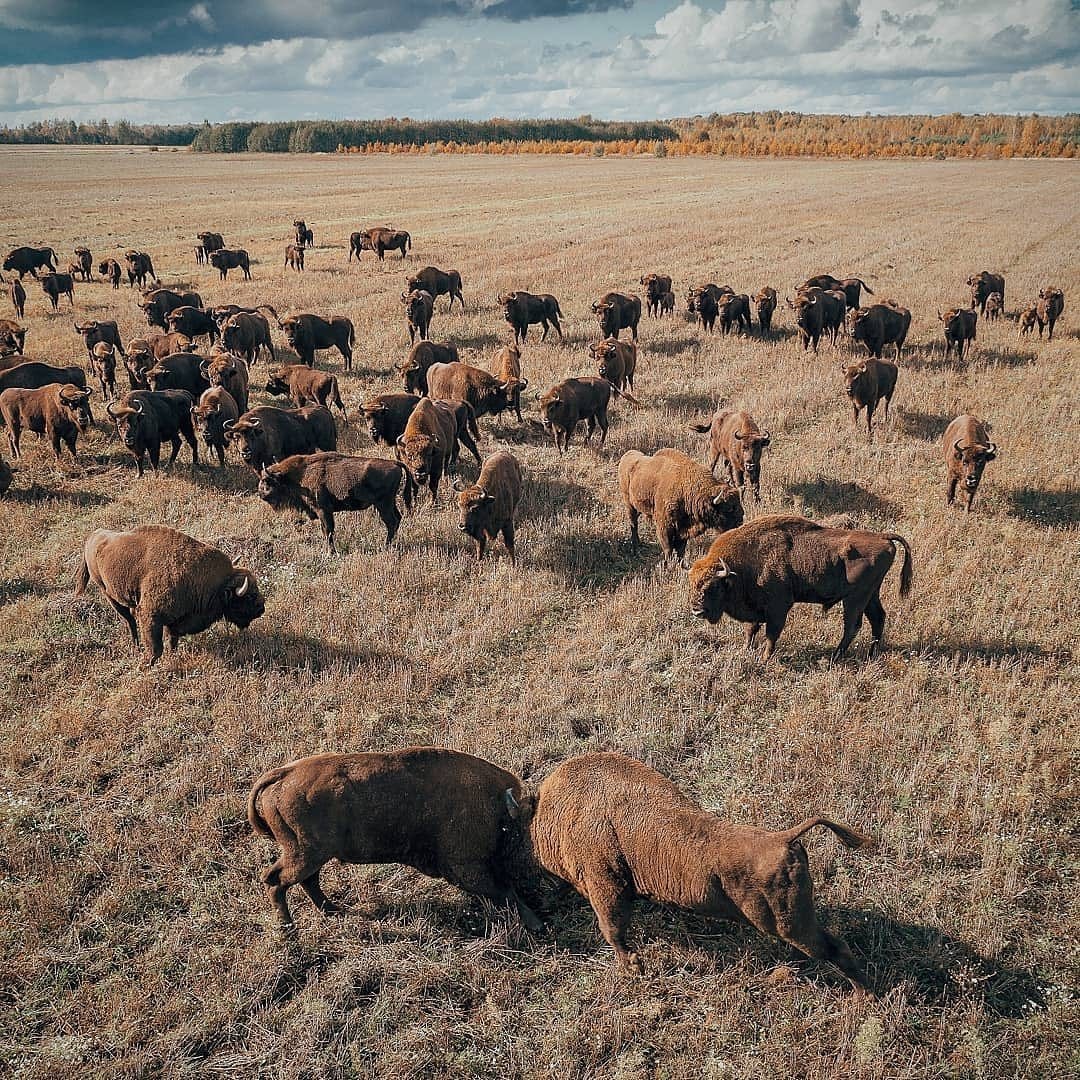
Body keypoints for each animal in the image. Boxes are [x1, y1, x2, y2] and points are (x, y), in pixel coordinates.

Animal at [75, 524, 263, 665]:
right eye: (250, 596)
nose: (262, 609)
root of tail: (93, 536)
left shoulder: (176, 622)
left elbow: (172, 641)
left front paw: (173, 656)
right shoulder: (151, 617)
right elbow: (156, 649)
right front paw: (146, 665)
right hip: (109, 595)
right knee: (129, 621)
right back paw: (136, 646)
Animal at [248, 751, 544, 937]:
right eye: (522, 835)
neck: (498, 808)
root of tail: (285, 774)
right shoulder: (467, 867)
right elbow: (504, 891)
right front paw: (536, 923)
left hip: (314, 855)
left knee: (307, 881)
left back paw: (333, 910)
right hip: (304, 854)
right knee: (275, 880)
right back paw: (288, 930)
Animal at [259, 451, 414, 552]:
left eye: (267, 481)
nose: (261, 494)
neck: (299, 475)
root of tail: (395, 463)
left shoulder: (323, 510)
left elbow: (328, 531)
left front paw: (331, 552)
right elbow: (326, 531)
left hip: (383, 504)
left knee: (391, 522)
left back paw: (385, 546)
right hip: (389, 503)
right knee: (397, 519)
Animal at [516, 751, 876, 993]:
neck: (555, 807)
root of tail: (782, 838)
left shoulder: (606, 883)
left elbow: (612, 929)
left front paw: (633, 968)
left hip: (789, 926)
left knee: (833, 948)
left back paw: (865, 997)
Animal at [691, 511, 911, 656]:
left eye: (714, 587)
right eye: (692, 585)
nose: (697, 610)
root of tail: (883, 537)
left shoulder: (779, 607)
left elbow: (771, 634)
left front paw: (765, 658)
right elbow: (751, 630)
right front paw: (746, 650)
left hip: (855, 598)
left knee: (853, 625)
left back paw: (835, 656)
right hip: (871, 594)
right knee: (877, 618)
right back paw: (871, 653)